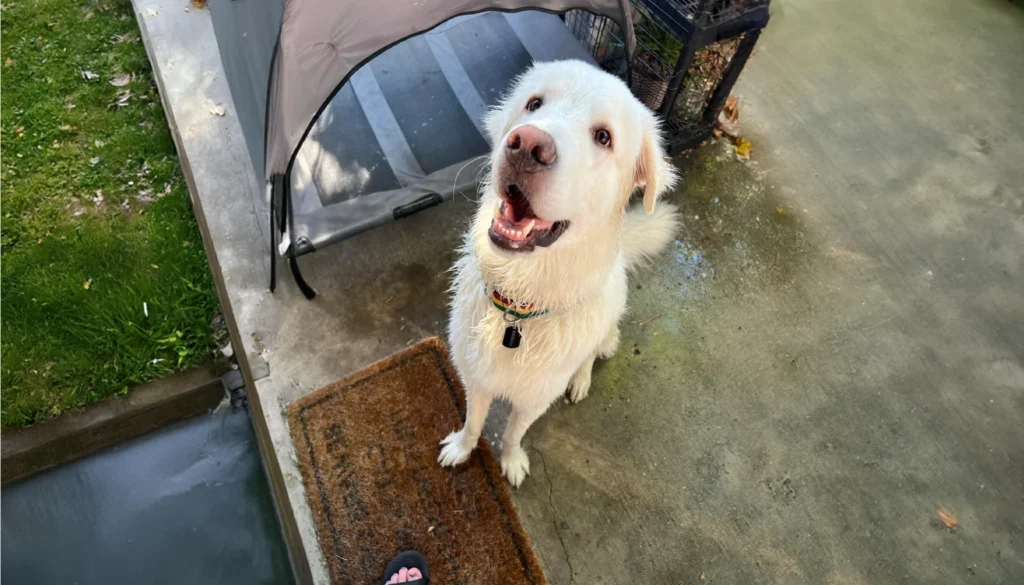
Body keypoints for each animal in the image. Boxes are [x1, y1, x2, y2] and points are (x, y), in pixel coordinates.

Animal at [438, 60, 679, 485]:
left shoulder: (535, 398)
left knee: (593, 352)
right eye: (535, 103)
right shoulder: (475, 378)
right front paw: (463, 448)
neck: (518, 307)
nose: (526, 146)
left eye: (604, 137)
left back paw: (582, 378)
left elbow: (513, 433)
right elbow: (473, 421)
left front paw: (511, 461)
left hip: (605, 321)